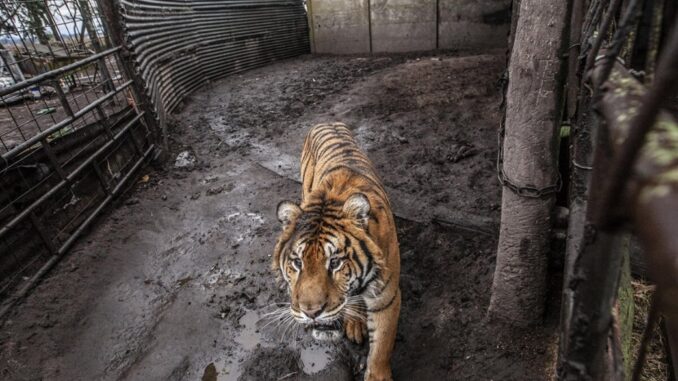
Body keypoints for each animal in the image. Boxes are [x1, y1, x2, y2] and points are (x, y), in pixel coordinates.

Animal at [274, 122, 402, 380]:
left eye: (335, 263)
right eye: (297, 263)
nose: (311, 312)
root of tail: (325, 121)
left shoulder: (387, 297)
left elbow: (381, 347)